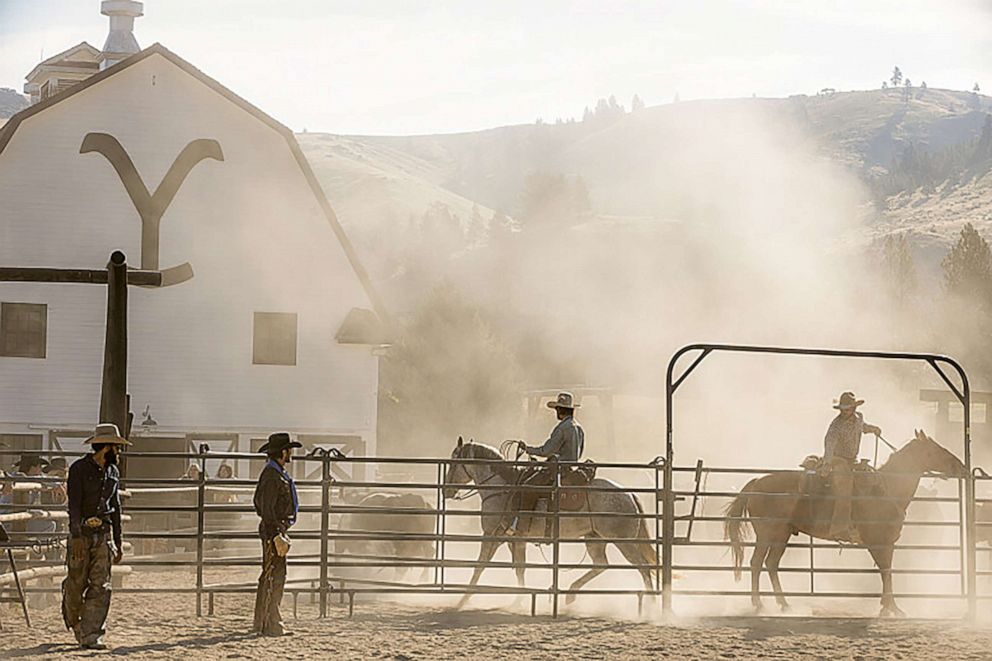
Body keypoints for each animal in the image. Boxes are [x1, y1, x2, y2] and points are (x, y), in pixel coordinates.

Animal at [444, 438, 660, 608]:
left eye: (453, 463)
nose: (446, 490)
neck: (502, 488)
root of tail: (629, 494)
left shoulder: (491, 534)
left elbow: (479, 566)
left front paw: (461, 601)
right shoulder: (514, 539)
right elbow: (519, 568)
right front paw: (518, 600)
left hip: (623, 541)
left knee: (643, 567)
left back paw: (651, 606)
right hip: (594, 539)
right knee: (601, 564)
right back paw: (571, 593)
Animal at [724, 430, 964, 616]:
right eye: (936, 450)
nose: (961, 466)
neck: (887, 489)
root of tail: (756, 482)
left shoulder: (888, 542)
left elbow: (887, 571)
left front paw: (889, 606)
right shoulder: (877, 542)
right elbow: (886, 571)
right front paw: (891, 608)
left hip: (782, 535)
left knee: (771, 563)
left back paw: (784, 605)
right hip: (767, 533)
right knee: (756, 563)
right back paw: (759, 604)